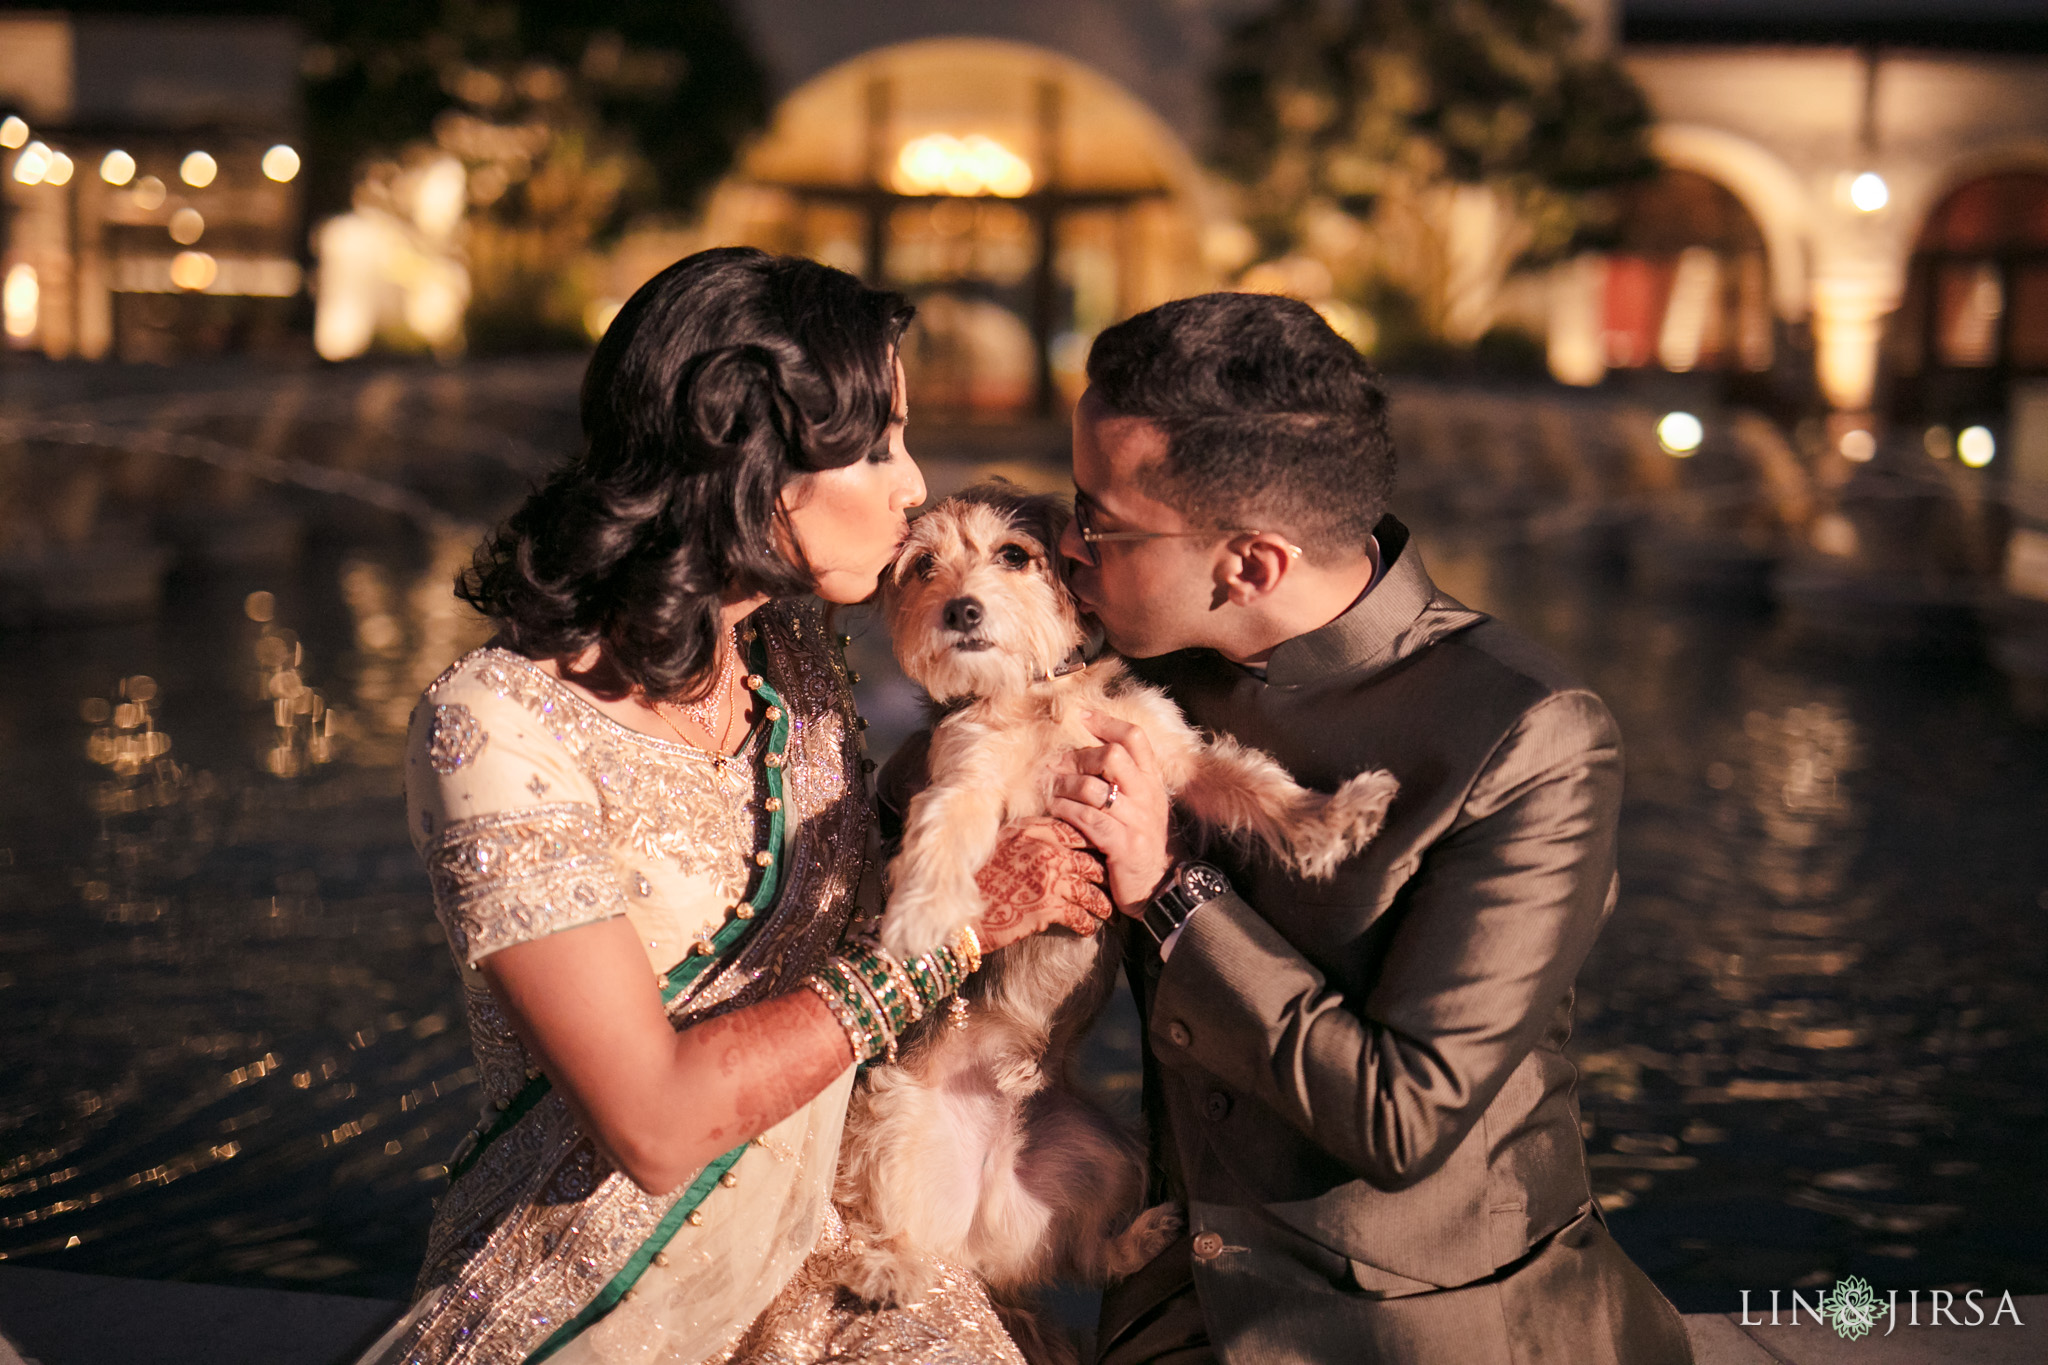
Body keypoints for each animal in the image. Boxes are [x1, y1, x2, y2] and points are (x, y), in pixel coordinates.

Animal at [827, 482, 1392, 1326]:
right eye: (922, 565)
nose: (960, 609)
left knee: (1085, 1256)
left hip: (1107, 1150)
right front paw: (921, 916)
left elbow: (1257, 785)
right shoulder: (965, 776)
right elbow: (942, 836)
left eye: (1015, 555)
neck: (1039, 694)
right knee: (888, 1226)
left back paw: (1143, 1235)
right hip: (892, 1122)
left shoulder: (1172, 757)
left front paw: (1335, 818)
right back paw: (889, 1268)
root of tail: (978, 1227)